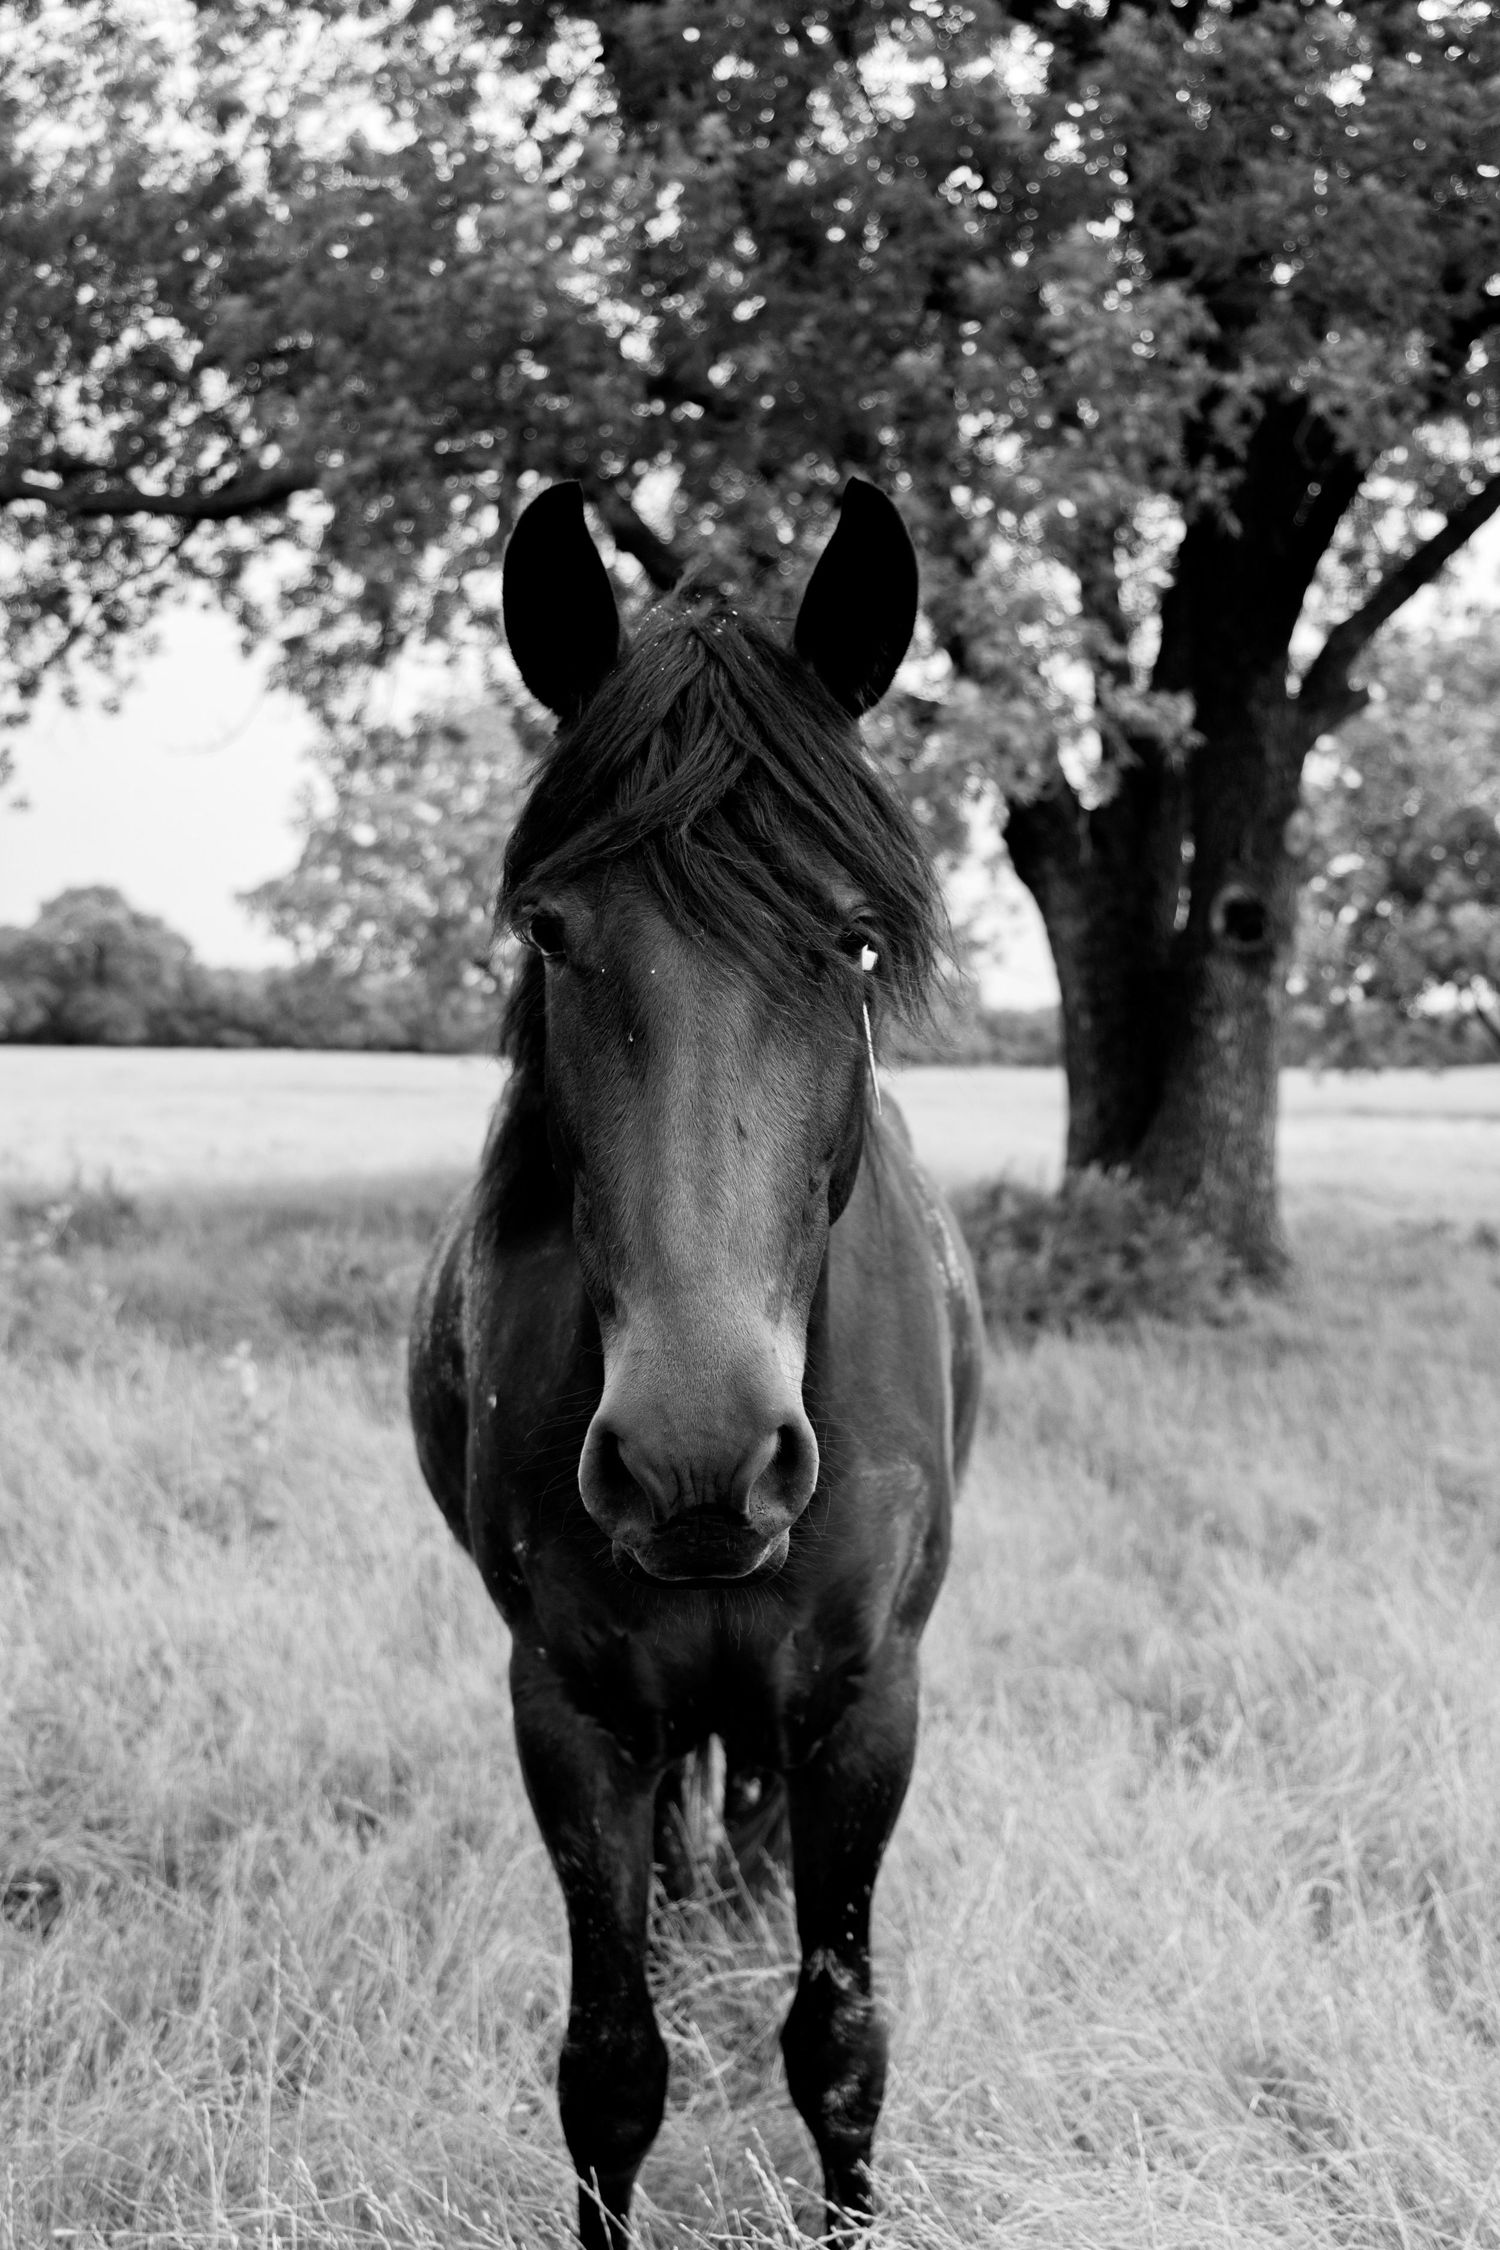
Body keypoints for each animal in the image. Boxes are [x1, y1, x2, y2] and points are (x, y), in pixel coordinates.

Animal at [408, 477, 983, 2248]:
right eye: (550, 928)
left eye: (855, 941)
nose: (696, 1461)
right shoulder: (570, 1703)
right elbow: (610, 2065)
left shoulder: (869, 1697)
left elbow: (842, 2040)